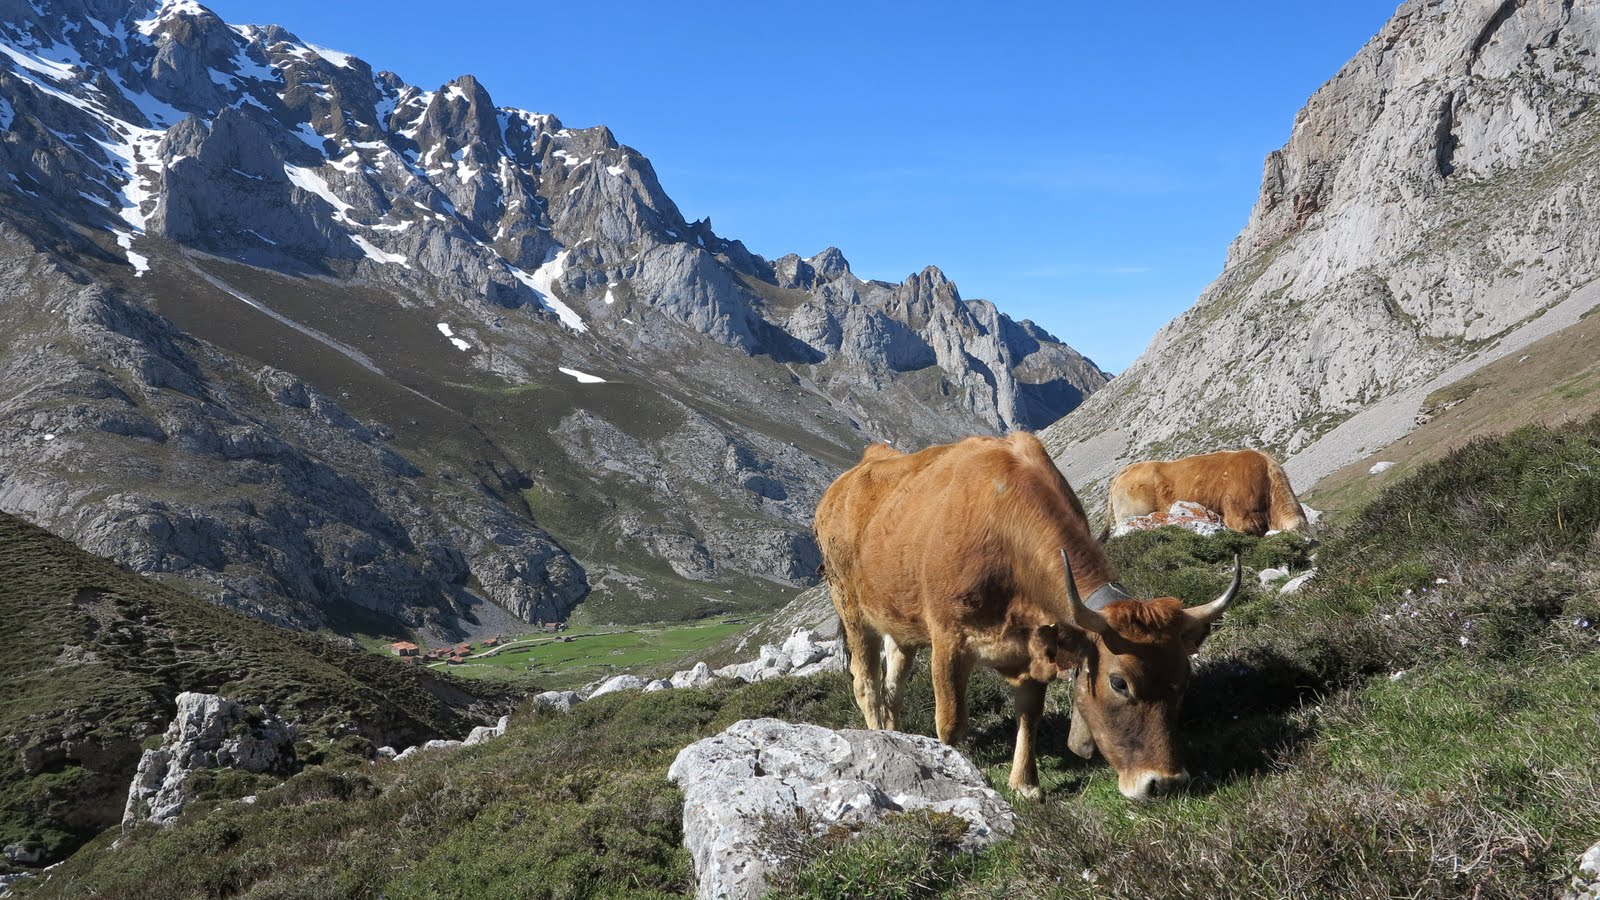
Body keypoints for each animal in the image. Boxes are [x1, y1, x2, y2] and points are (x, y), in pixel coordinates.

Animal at [813, 433, 1240, 801]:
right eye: (1119, 683)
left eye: (1184, 680)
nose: (1163, 783)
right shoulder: (949, 639)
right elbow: (950, 721)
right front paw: (957, 776)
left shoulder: (1037, 638)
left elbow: (1029, 713)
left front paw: (1025, 783)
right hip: (850, 607)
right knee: (867, 685)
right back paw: (878, 737)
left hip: (899, 622)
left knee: (894, 684)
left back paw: (898, 738)